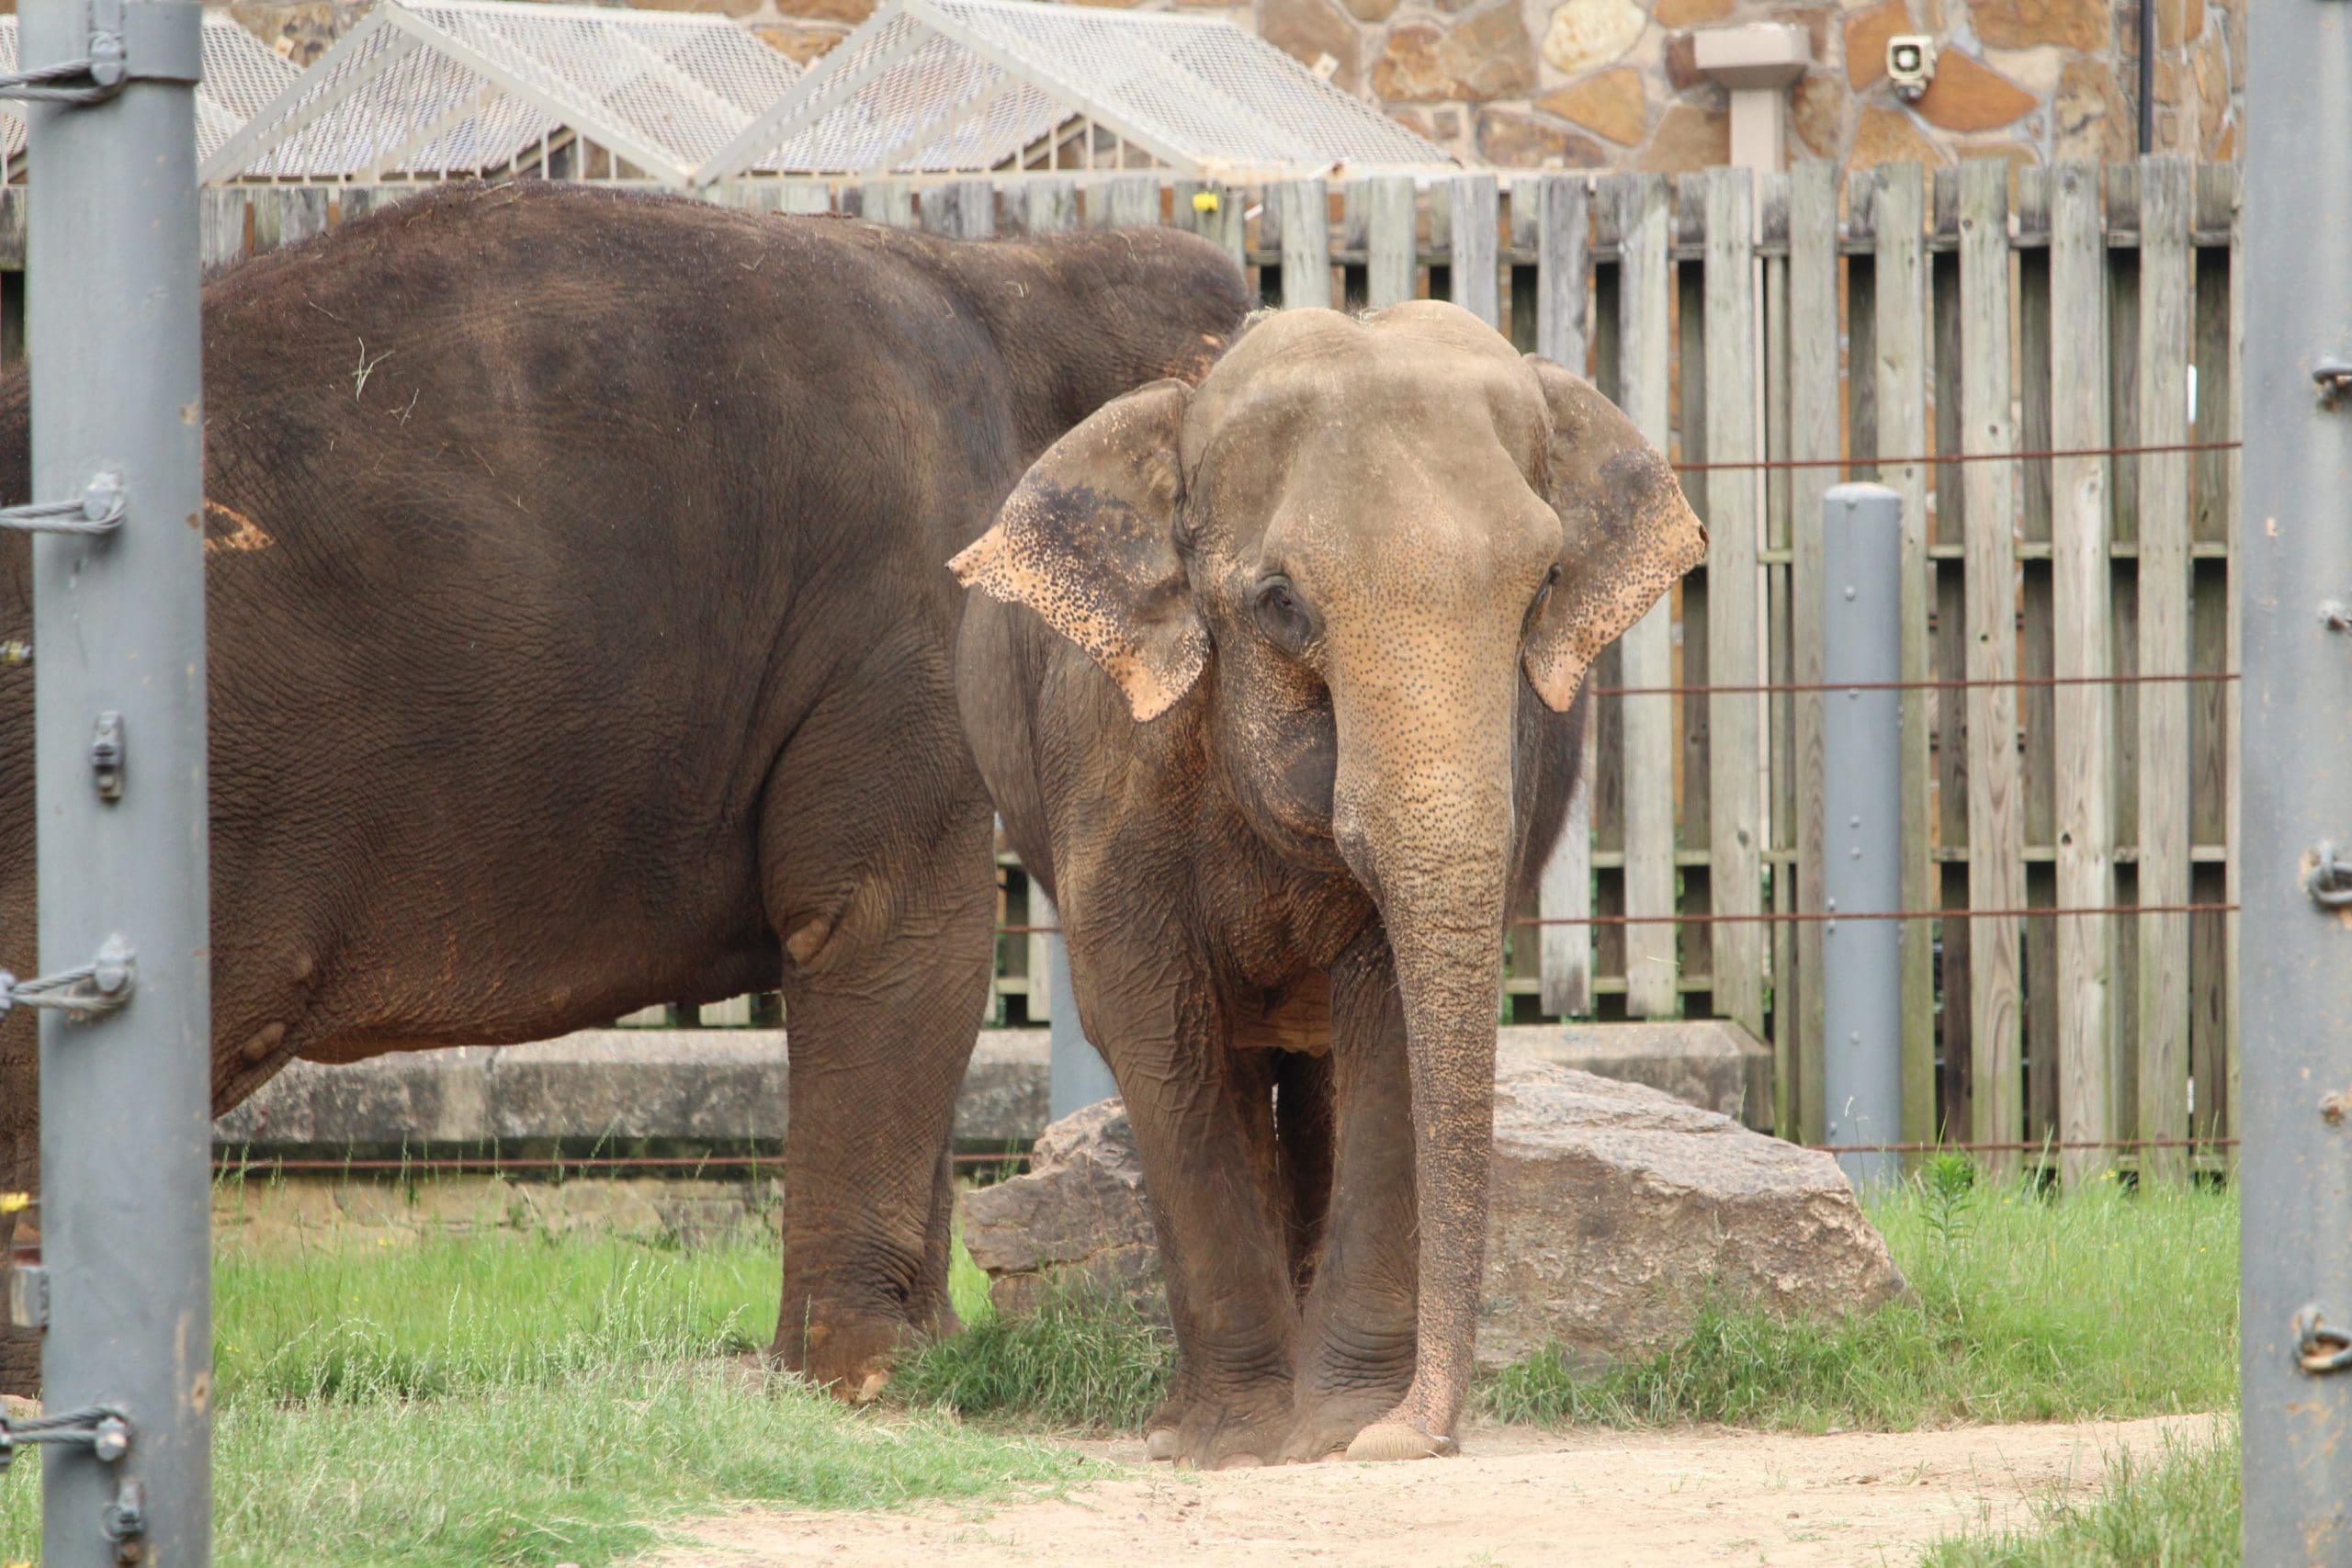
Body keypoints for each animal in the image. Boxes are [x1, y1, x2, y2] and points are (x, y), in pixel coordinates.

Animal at [953, 300, 1704, 1466]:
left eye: (1541, 588)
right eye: (1279, 605)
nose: (1417, 1440)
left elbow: (1387, 1025)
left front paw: (1337, 1430)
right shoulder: (1109, 773)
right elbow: (1154, 1030)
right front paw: (1238, 1447)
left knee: (1308, 1080)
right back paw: (1179, 1425)